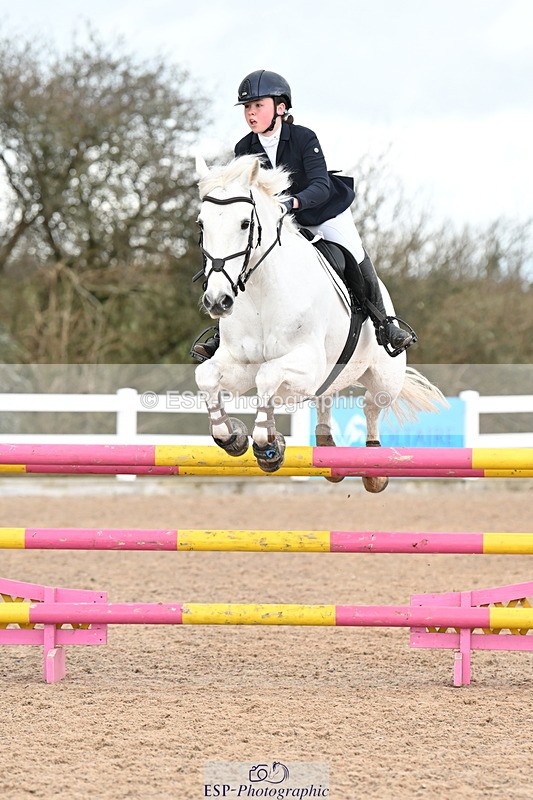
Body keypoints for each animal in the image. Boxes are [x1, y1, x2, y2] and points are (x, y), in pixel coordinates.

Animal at [194, 154, 445, 493]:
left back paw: (374, 470)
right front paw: (232, 435)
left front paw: (267, 447)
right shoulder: (239, 362)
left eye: (245, 224)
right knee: (326, 397)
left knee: (371, 405)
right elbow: (207, 375)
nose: (217, 300)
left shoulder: (306, 364)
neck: (262, 291)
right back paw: (327, 451)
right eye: (202, 224)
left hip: (384, 377)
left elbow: (267, 376)